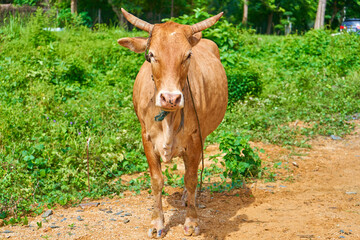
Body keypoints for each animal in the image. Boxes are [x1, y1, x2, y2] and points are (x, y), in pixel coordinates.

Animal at [118, 8, 226, 237]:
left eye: (188, 55)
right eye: (151, 55)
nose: (170, 98)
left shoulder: (195, 139)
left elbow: (191, 178)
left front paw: (192, 221)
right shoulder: (147, 138)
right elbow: (156, 181)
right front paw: (156, 222)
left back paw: (186, 197)